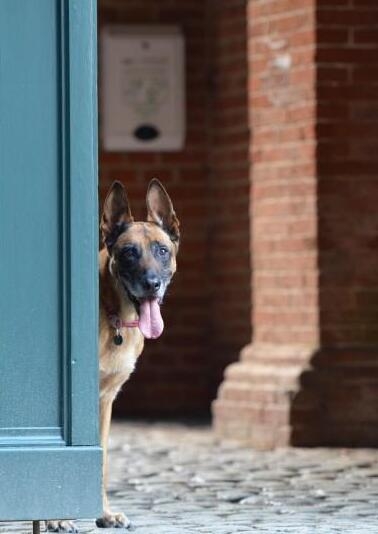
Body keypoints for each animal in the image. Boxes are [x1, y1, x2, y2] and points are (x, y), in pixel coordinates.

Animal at [46, 179, 179, 532]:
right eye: (129, 252)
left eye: (162, 251)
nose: (152, 284)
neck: (113, 312)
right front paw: (57, 515)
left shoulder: (103, 403)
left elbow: (103, 458)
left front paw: (104, 512)